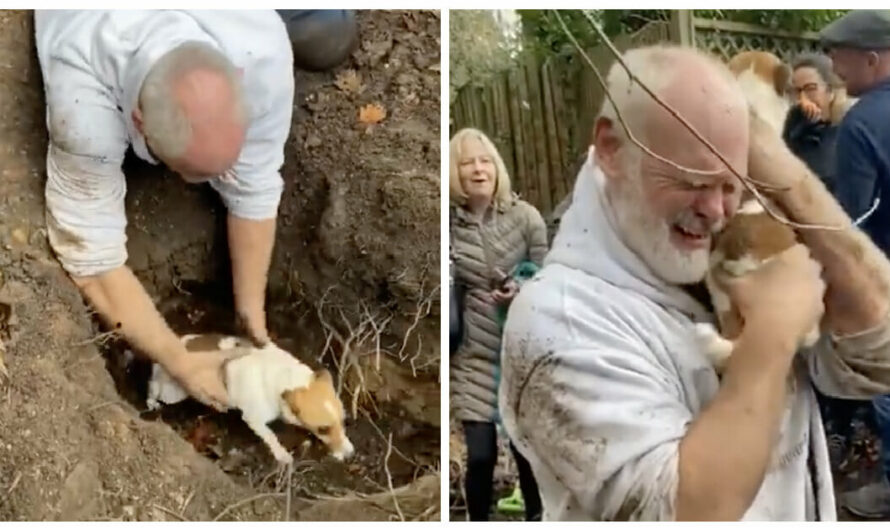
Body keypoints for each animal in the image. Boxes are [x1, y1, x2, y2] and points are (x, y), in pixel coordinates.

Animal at [147, 334, 354, 462]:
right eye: (323, 429)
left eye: (344, 421)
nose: (350, 454)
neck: (290, 380)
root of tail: (182, 342)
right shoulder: (254, 419)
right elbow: (270, 436)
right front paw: (282, 455)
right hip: (173, 393)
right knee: (153, 386)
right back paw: (152, 401)